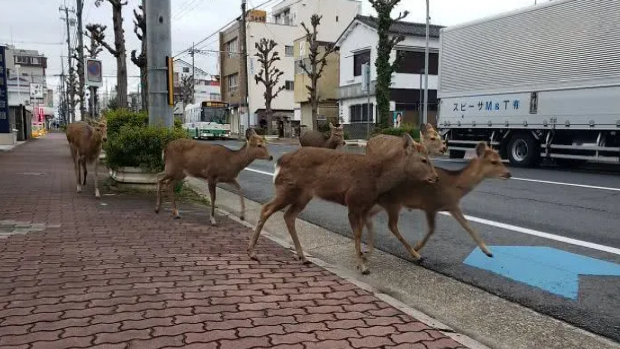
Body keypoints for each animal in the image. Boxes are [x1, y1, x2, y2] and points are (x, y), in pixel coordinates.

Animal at [245, 132, 438, 274]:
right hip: (288, 189)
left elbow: (365, 231)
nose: (435, 177)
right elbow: (358, 234)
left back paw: (303, 257)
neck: (378, 178)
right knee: (266, 209)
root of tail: (279, 162)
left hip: (303, 195)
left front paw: (416, 255)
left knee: (288, 215)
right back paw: (252, 252)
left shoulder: (365, 206)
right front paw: (362, 266)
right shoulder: (353, 201)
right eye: (424, 160)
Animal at [360, 141, 512, 258]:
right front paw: (417, 247)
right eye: (493, 162)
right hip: (393, 202)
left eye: (501, 158)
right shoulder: (430, 204)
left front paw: (488, 251)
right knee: (391, 225)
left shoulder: (453, 205)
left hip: (382, 203)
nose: (508, 174)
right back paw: (415, 255)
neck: (454, 186)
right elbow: (432, 229)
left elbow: (468, 226)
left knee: (368, 217)